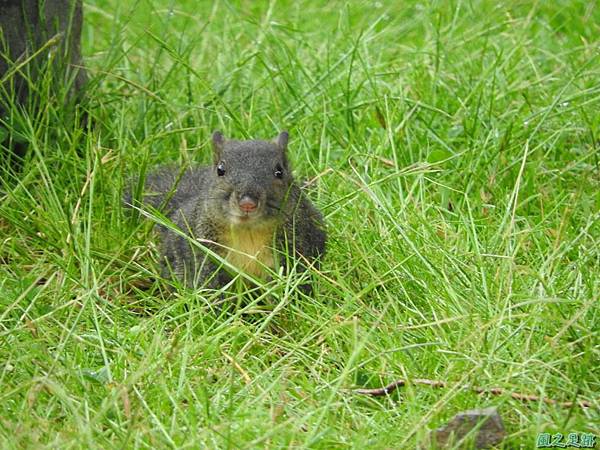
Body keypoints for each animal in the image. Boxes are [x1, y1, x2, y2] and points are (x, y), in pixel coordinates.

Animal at [124, 130, 326, 292]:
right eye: (220, 170)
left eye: (279, 172)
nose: (247, 203)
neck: (248, 231)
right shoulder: (206, 253)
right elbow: (212, 287)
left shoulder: (295, 248)